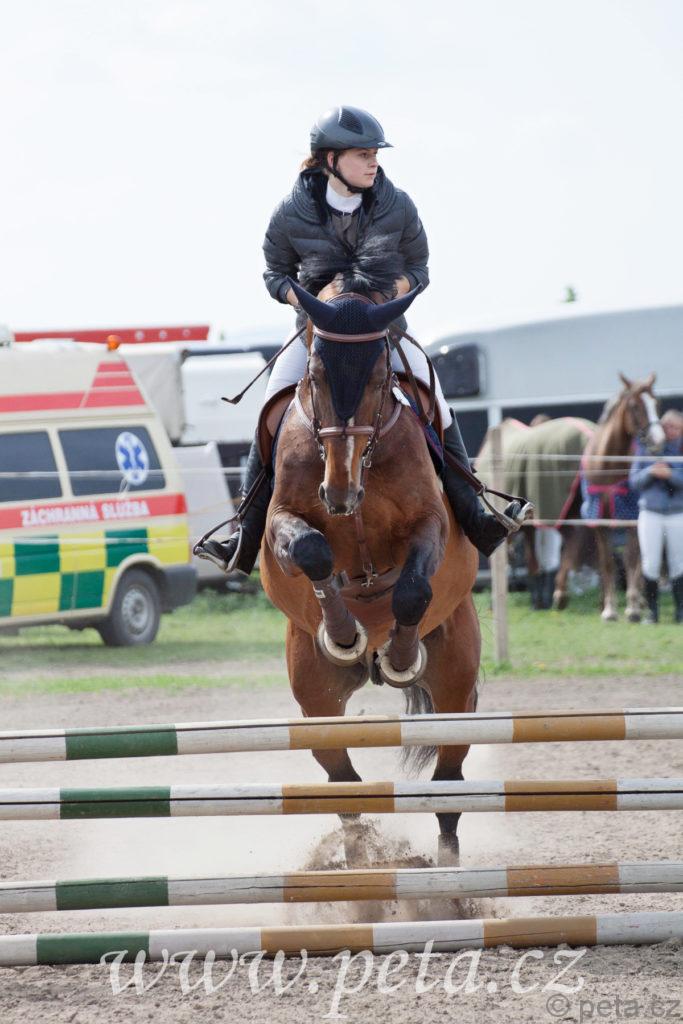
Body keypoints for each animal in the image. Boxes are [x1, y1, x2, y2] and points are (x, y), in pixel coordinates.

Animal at [258, 277, 480, 867]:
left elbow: (412, 589)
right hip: (316, 703)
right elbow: (312, 551)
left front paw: (401, 655)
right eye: (314, 376)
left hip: (457, 688)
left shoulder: (430, 525)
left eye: (381, 378)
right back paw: (362, 862)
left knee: (450, 785)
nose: (339, 493)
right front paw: (342, 632)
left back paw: (447, 870)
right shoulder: (282, 521)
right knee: (345, 787)